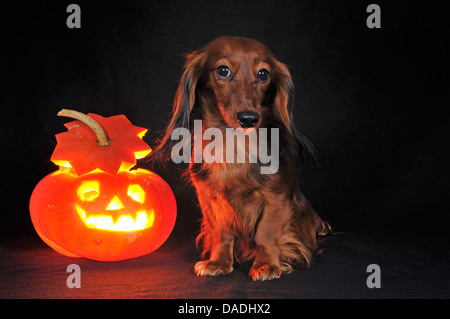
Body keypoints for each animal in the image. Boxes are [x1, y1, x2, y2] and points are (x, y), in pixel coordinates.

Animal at [153, 36, 328, 280]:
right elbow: (222, 233)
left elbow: (266, 233)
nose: (248, 119)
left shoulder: (276, 197)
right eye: (223, 70)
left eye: (263, 74)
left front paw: (267, 264)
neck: (232, 142)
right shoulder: (210, 198)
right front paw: (218, 262)